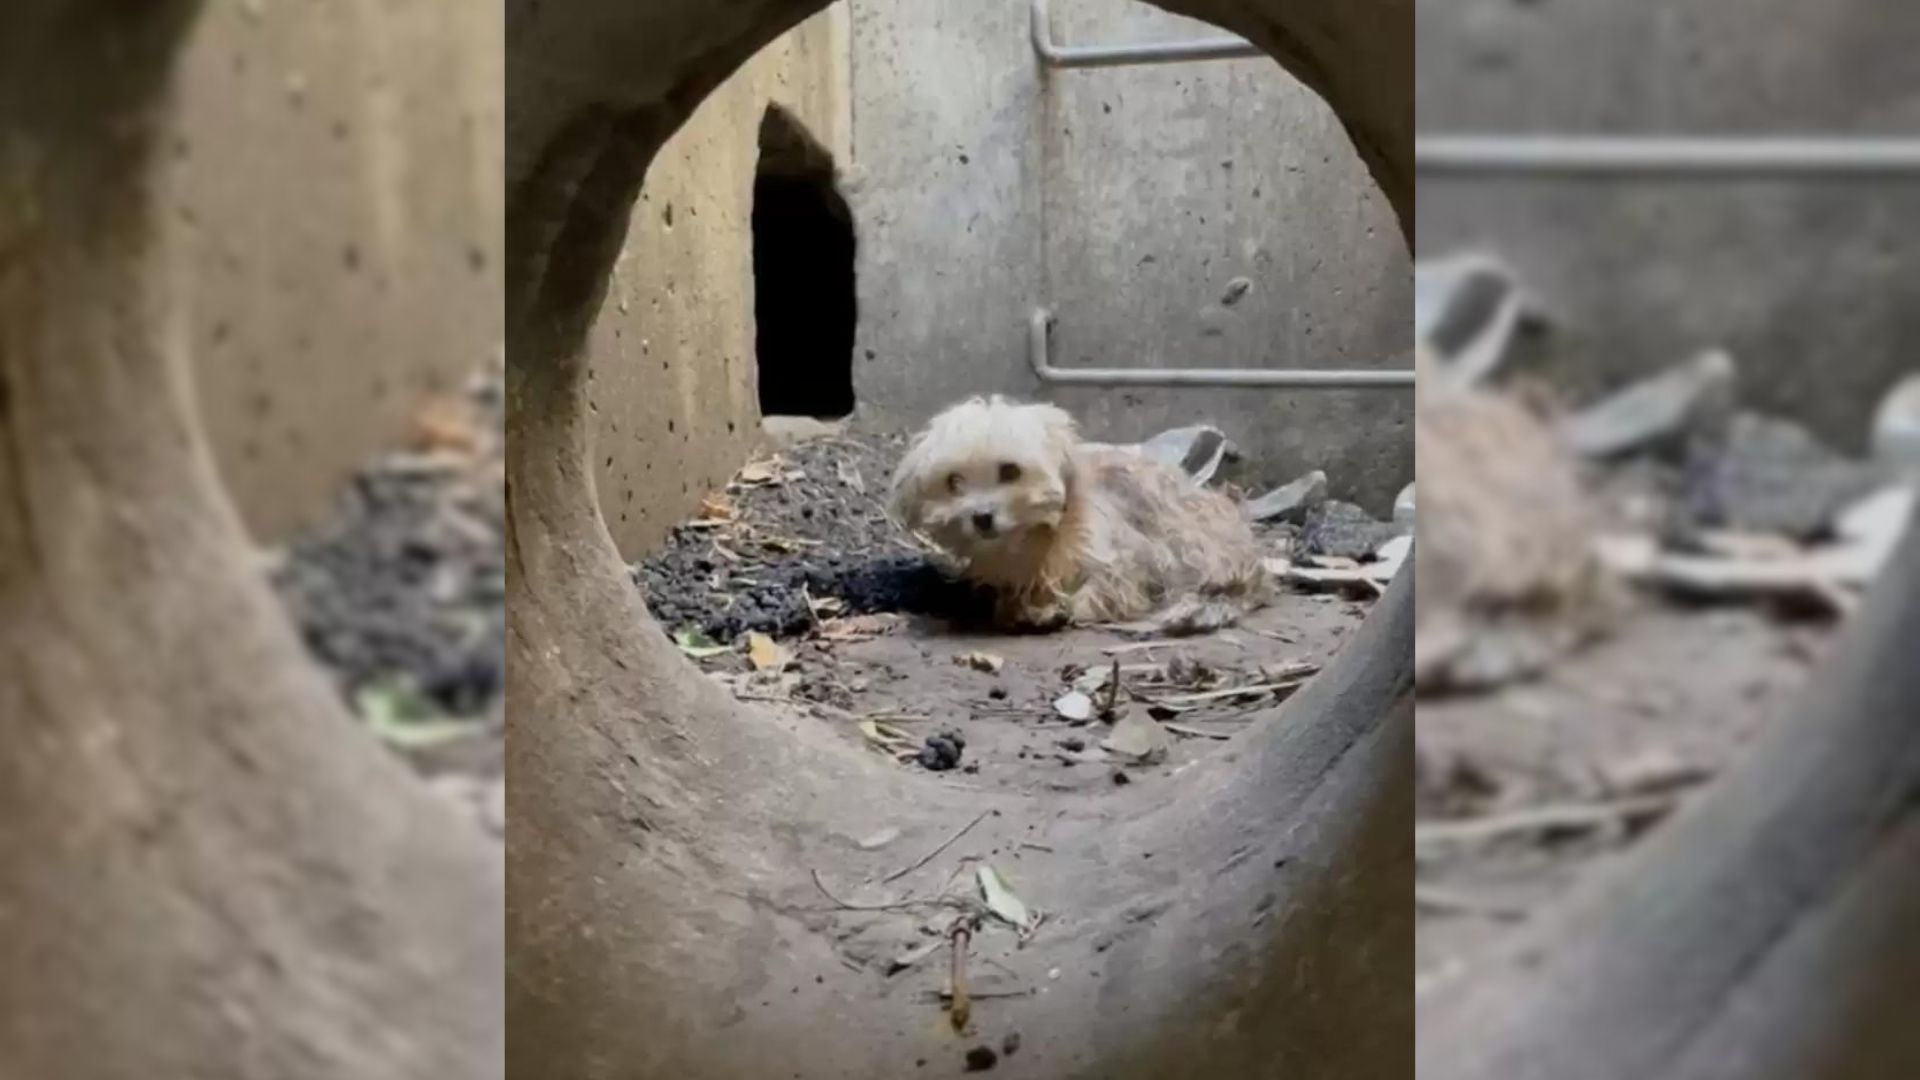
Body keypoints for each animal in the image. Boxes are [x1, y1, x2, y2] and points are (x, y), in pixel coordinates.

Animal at [887, 395, 1274, 630]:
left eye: (1010, 471)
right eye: (954, 481)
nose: (982, 518)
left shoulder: (1122, 557)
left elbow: (1106, 587)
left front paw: (1060, 609)